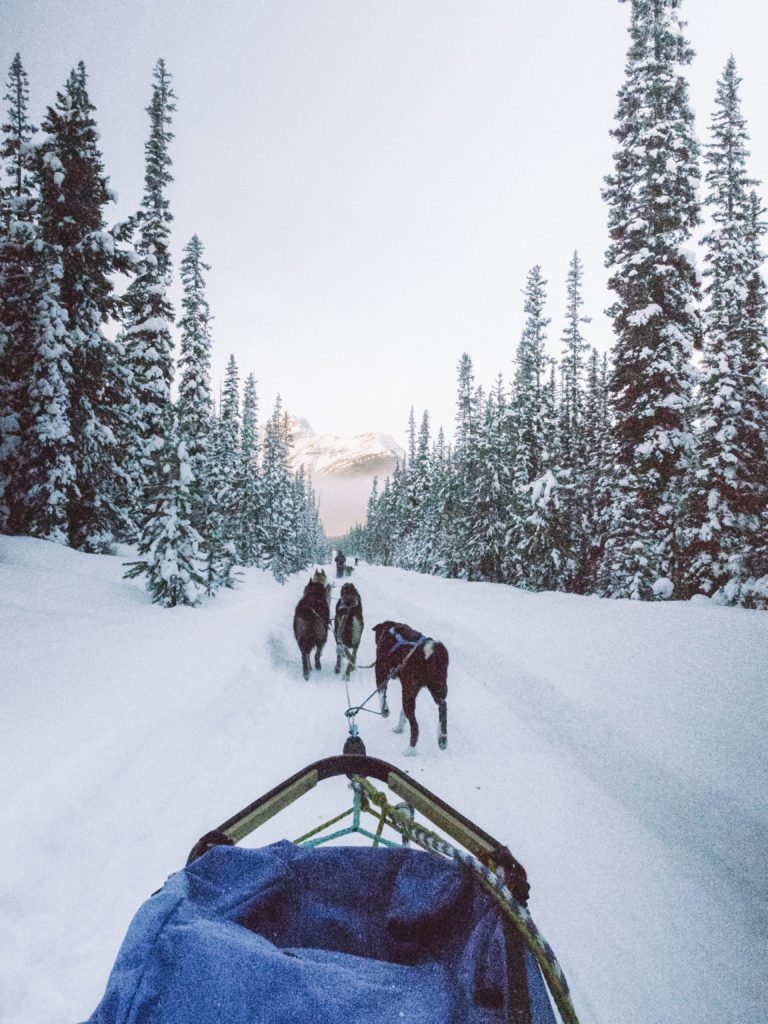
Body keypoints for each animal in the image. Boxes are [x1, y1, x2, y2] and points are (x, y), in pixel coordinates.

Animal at [374, 618, 450, 749]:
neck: (389, 629)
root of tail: (427, 654)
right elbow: (401, 712)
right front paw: (399, 727)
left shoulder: (381, 672)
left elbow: (381, 696)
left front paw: (385, 712)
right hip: (437, 689)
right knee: (443, 707)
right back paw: (442, 738)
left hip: (409, 693)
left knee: (415, 726)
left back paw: (410, 750)